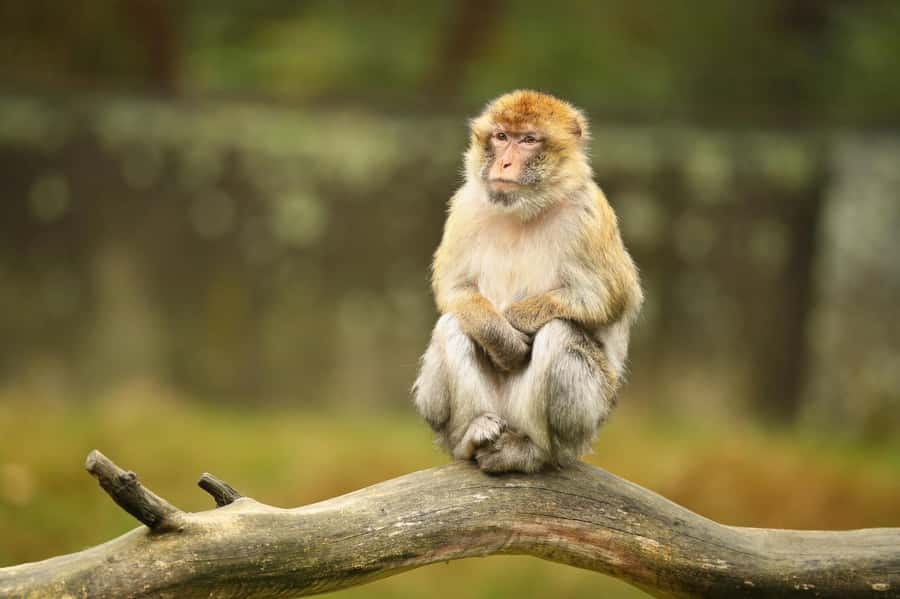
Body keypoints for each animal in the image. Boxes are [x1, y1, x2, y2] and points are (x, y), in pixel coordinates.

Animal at [413, 90, 643, 474]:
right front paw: (500, 335)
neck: (523, 209)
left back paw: (533, 451)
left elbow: (609, 296)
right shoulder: (465, 205)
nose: (504, 163)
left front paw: (516, 320)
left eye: (528, 140)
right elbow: (454, 290)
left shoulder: (588, 212)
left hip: (586, 419)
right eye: (501, 136)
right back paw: (473, 434)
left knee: (559, 332)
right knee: (455, 324)